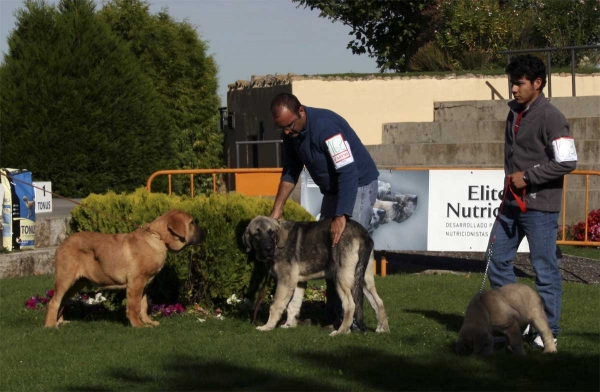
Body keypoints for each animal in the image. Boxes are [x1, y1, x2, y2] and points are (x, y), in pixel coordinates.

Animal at [43, 211, 205, 328]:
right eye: (192, 223)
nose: (206, 232)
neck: (157, 239)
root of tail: (63, 243)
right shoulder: (135, 282)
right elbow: (134, 306)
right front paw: (138, 325)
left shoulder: (144, 284)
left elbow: (143, 305)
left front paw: (148, 322)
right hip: (65, 278)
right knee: (54, 301)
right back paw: (51, 325)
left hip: (77, 283)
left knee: (63, 301)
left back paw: (60, 321)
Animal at [243, 216, 390, 336]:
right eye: (256, 234)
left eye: (271, 232)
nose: (268, 249)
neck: (278, 240)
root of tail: (363, 234)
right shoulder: (298, 282)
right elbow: (293, 305)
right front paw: (289, 325)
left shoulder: (285, 280)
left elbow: (276, 305)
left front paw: (268, 326)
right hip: (362, 278)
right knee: (378, 301)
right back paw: (383, 329)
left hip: (341, 278)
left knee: (350, 305)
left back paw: (341, 331)